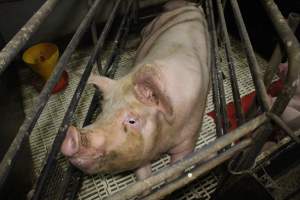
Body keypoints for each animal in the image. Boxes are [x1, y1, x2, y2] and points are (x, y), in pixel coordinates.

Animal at [61, 0, 211, 180]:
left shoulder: (189, 137)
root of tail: (189, 6)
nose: (71, 135)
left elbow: (177, 168)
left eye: (132, 121)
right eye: (102, 112)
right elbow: (143, 177)